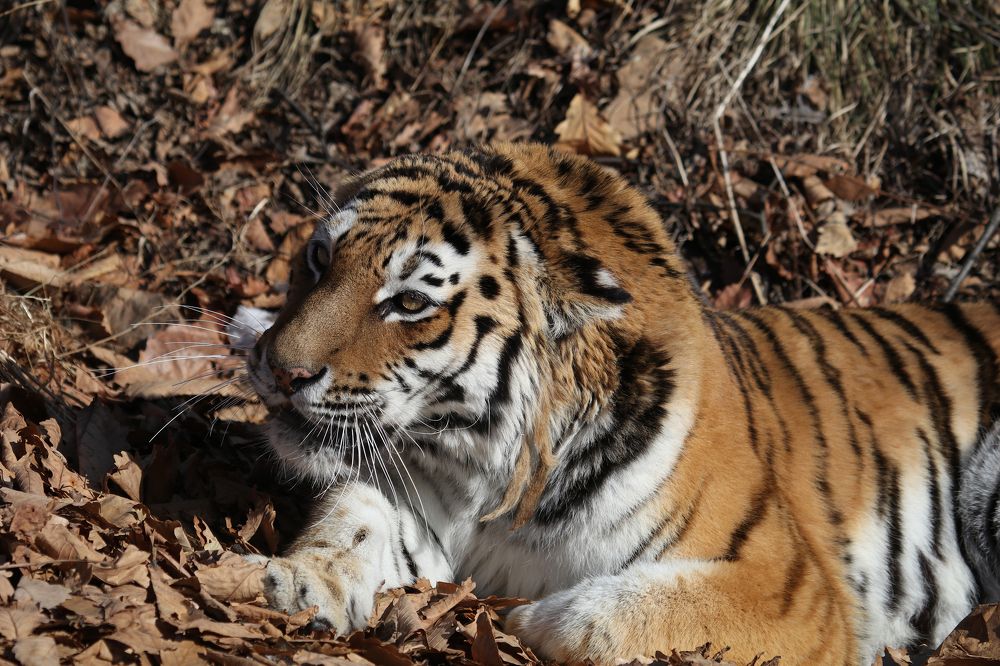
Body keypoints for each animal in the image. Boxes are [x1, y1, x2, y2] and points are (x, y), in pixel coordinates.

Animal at [238, 142, 1000, 665]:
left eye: (410, 303)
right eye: (317, 258)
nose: (281, 369)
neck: (491, 474)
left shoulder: (789, 588)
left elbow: (651, 606)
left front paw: (530, 621)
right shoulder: (414, 502)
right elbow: (352, 521)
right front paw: (295, 581)